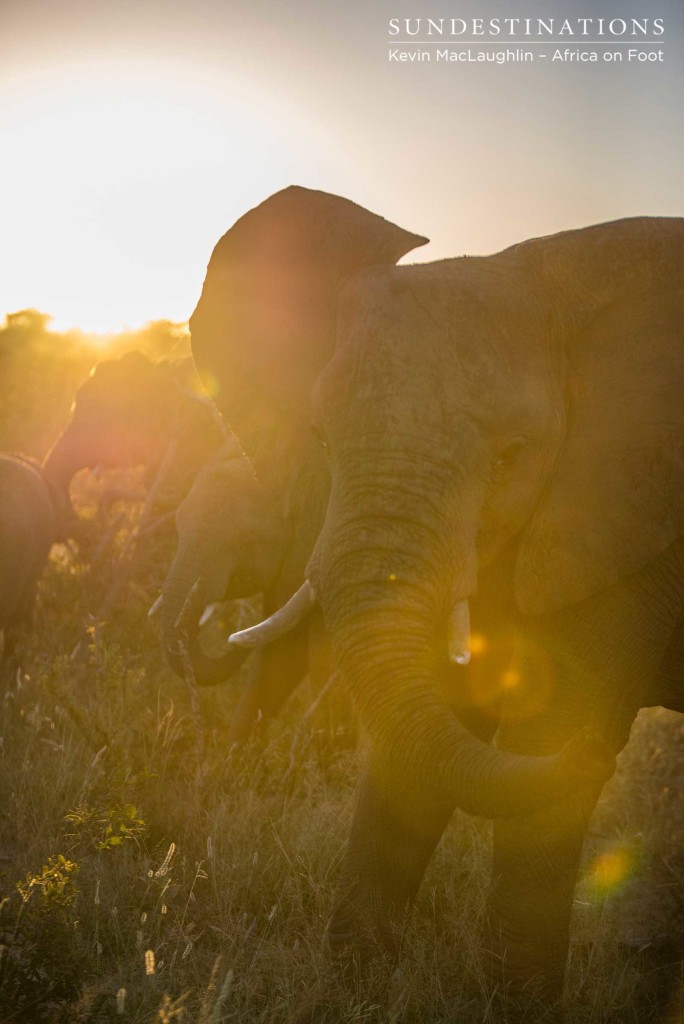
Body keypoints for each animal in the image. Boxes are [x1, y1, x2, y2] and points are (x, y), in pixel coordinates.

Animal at [189, 188, 679, 1003]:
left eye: (511, 458)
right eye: (321, 438)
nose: (599, 754)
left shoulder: (627, 517)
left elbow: (546, 722)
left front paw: (516, 1007)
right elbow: (427, 728)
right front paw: (349, 992)